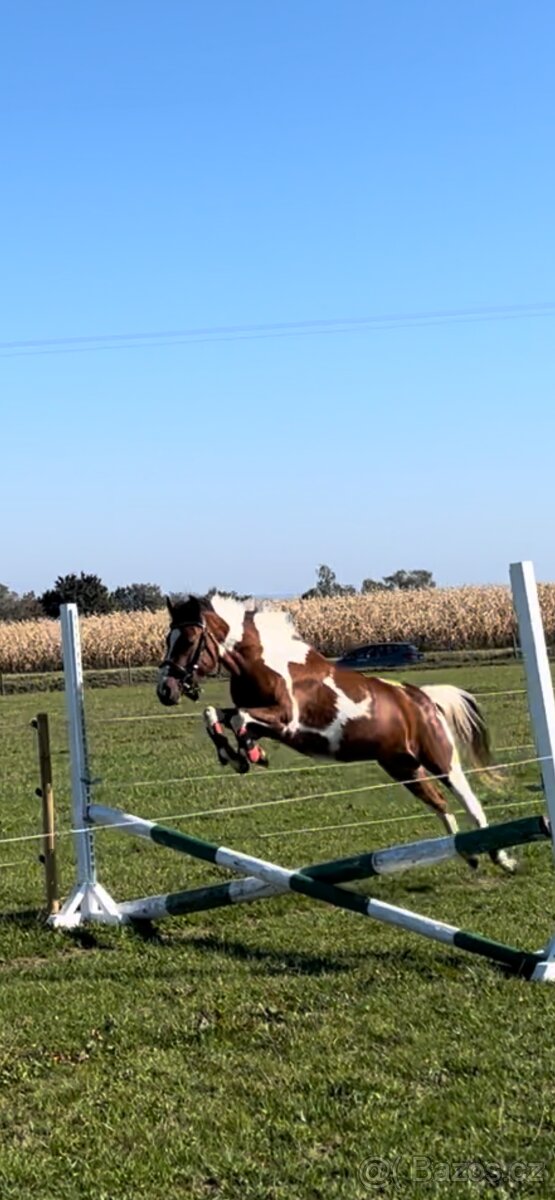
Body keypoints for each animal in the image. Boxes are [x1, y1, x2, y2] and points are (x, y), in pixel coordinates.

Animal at [157, 592, 516, 873]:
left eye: (189, 640)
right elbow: (215, 715)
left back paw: (502, 859)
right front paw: (236, 756)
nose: (165, 691)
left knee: (469, 801)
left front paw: (251, 754)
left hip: (439, 758)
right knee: (440, 803)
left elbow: (240, 719)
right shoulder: (264, 719)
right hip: (403, 766)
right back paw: (469, 855)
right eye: (166, 640)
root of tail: (423, 698)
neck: (262, 662)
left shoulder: (286, 721)